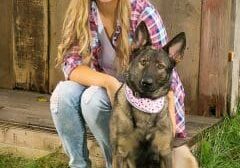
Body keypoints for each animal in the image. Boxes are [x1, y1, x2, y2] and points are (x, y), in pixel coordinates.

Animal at [109, 22, 198, 168]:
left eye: (160, 66)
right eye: (143, 62)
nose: (147, 83)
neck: (146, 104)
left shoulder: (165, 152)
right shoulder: (120, 154)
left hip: (184, 153)